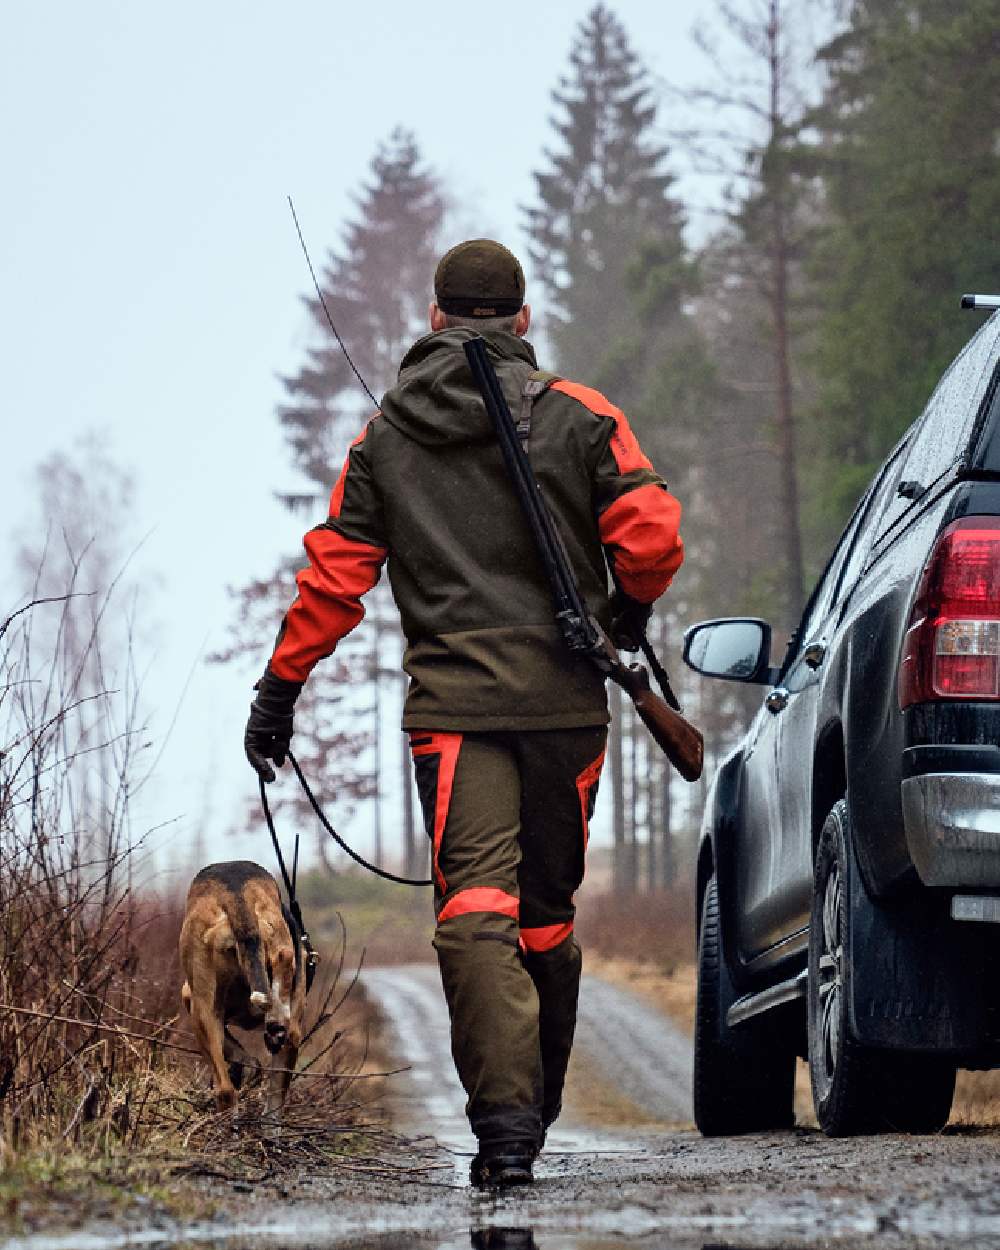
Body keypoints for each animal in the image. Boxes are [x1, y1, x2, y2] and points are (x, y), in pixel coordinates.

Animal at [178, 860, 312, 1115]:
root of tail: (235, 894)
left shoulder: (195, 1004)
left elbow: (238, 1055)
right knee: (284, 955)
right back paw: (277, 1014)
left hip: (203, 1014)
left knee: (225, 1090)